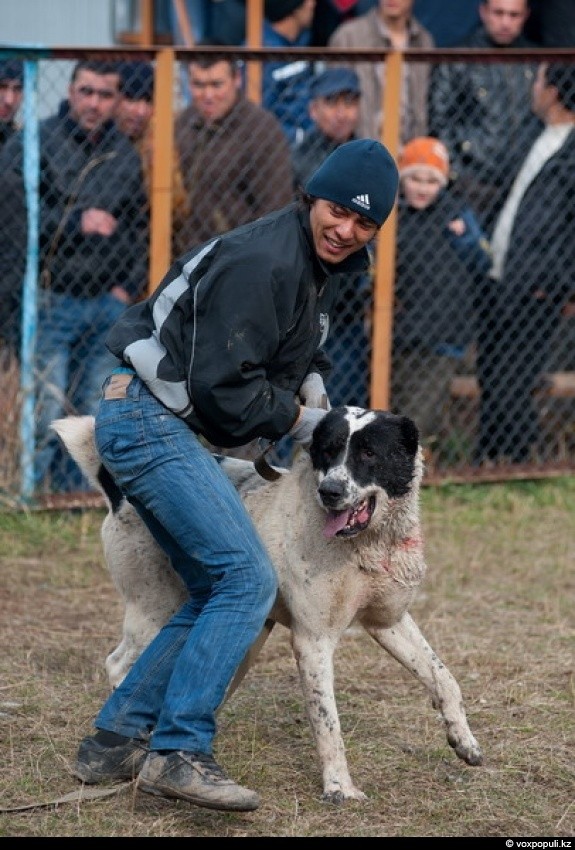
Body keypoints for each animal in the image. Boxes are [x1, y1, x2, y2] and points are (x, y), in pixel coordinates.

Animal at [53, 406, 482, 800]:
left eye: (369, 453)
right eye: (328, 451)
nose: (330, 492)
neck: (367, 545)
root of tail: (120, 495)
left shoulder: (388, 621)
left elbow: (444, 677)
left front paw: (464, 740)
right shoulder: (313, 641)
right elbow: (328, 723)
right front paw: (338, 787)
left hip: (243, 630)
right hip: (159, 611)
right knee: (120, 664)